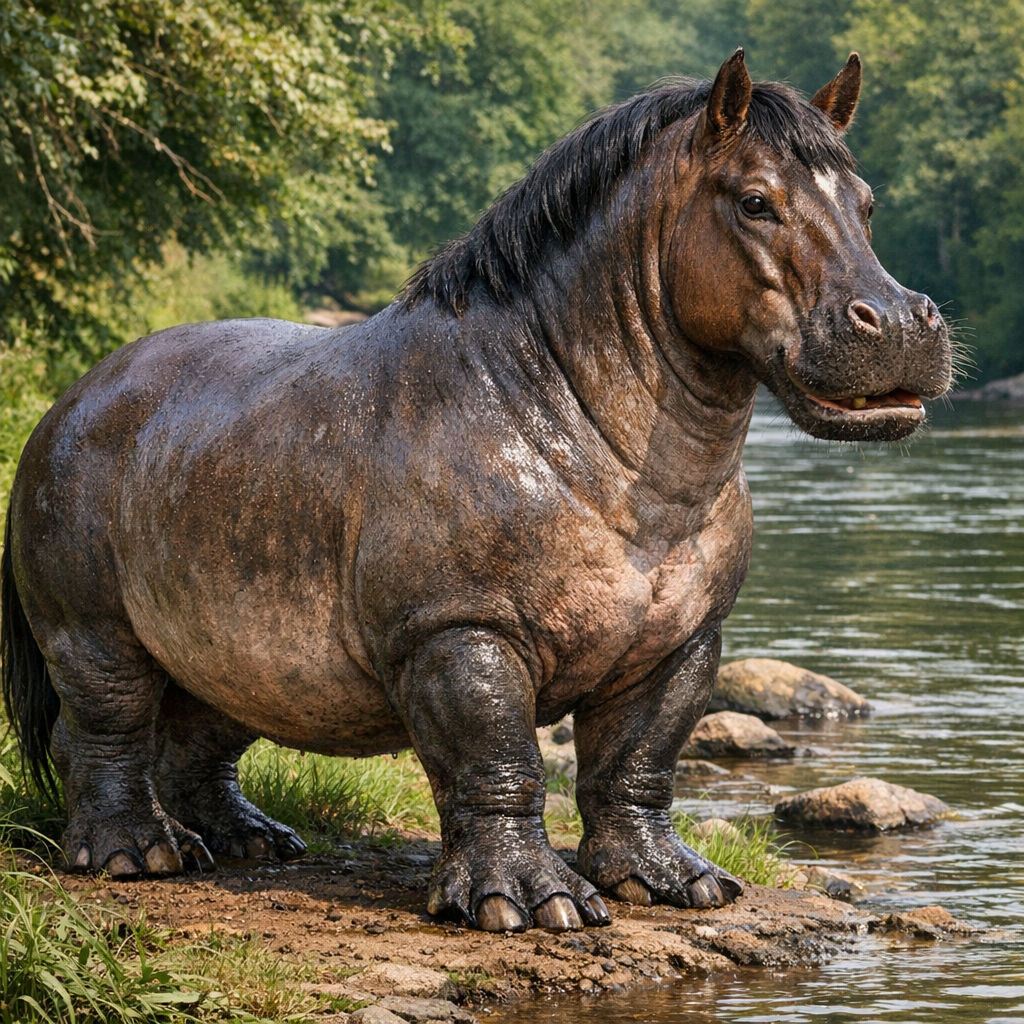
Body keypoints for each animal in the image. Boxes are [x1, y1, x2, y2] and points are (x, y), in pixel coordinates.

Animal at [2, 50, 950, 933]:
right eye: (754, 200)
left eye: (866, 202)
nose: (905, 321)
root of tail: (75, 391)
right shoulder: (459, 627)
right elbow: (498, 759)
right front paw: (533, 907)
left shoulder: (684, 638)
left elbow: (639, 762)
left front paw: (680, 886)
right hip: (91, 624)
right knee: (106, 723)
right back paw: (136, 858)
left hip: (231, 624)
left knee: (203, 726)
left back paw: (252, 845)